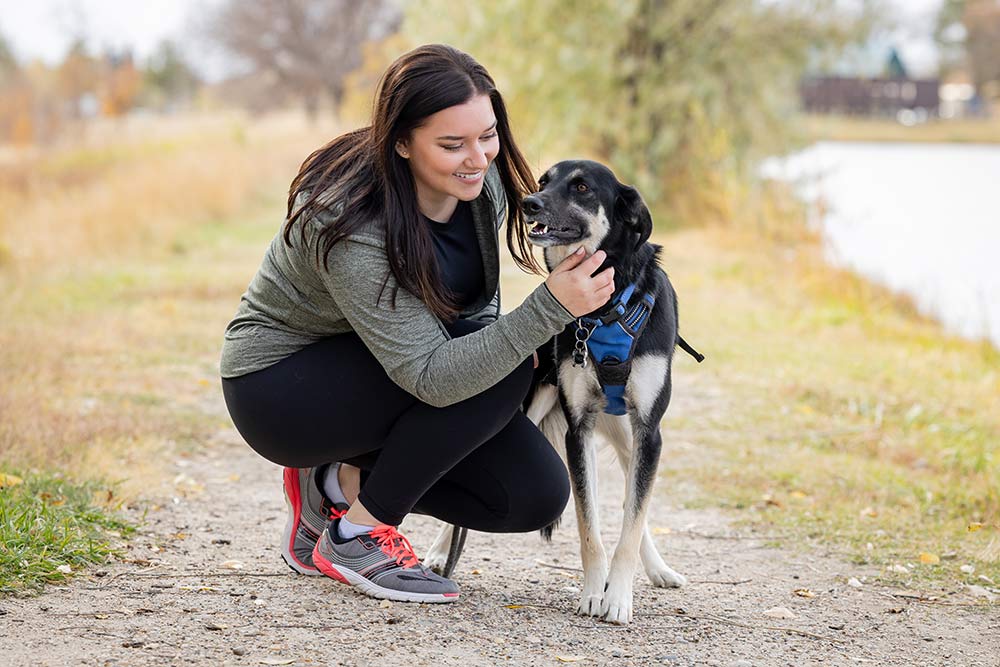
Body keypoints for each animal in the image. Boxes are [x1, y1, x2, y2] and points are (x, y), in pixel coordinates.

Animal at [426, 160, 700, 628]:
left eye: (582, 187)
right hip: (534, 405)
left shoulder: (649, 432)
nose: (528, 203)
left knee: (634, 504)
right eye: (543, 181)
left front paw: (618, 596)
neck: (608, 307)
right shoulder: (578, 430)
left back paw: (658, 569)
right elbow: (589, 527)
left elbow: (632, 521)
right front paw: (593, 592)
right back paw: (442, 551)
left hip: (629, 438)